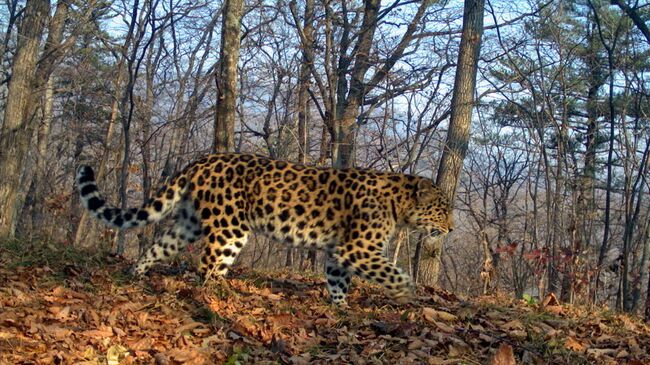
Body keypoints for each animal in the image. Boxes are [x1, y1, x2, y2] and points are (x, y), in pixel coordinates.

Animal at [74, 153, 450, 304]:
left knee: (158, 246)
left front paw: (341, 310)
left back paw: (136, 275)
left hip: (190, 225)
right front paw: (406, 294)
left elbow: (337, 281)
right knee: (207, 266)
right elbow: (394, 273)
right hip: (230, 227)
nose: (450, 229)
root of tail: (201, 160)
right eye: (442, 209)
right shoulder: (358, 248)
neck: (400, 204)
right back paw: (218, 298)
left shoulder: (339, 252)